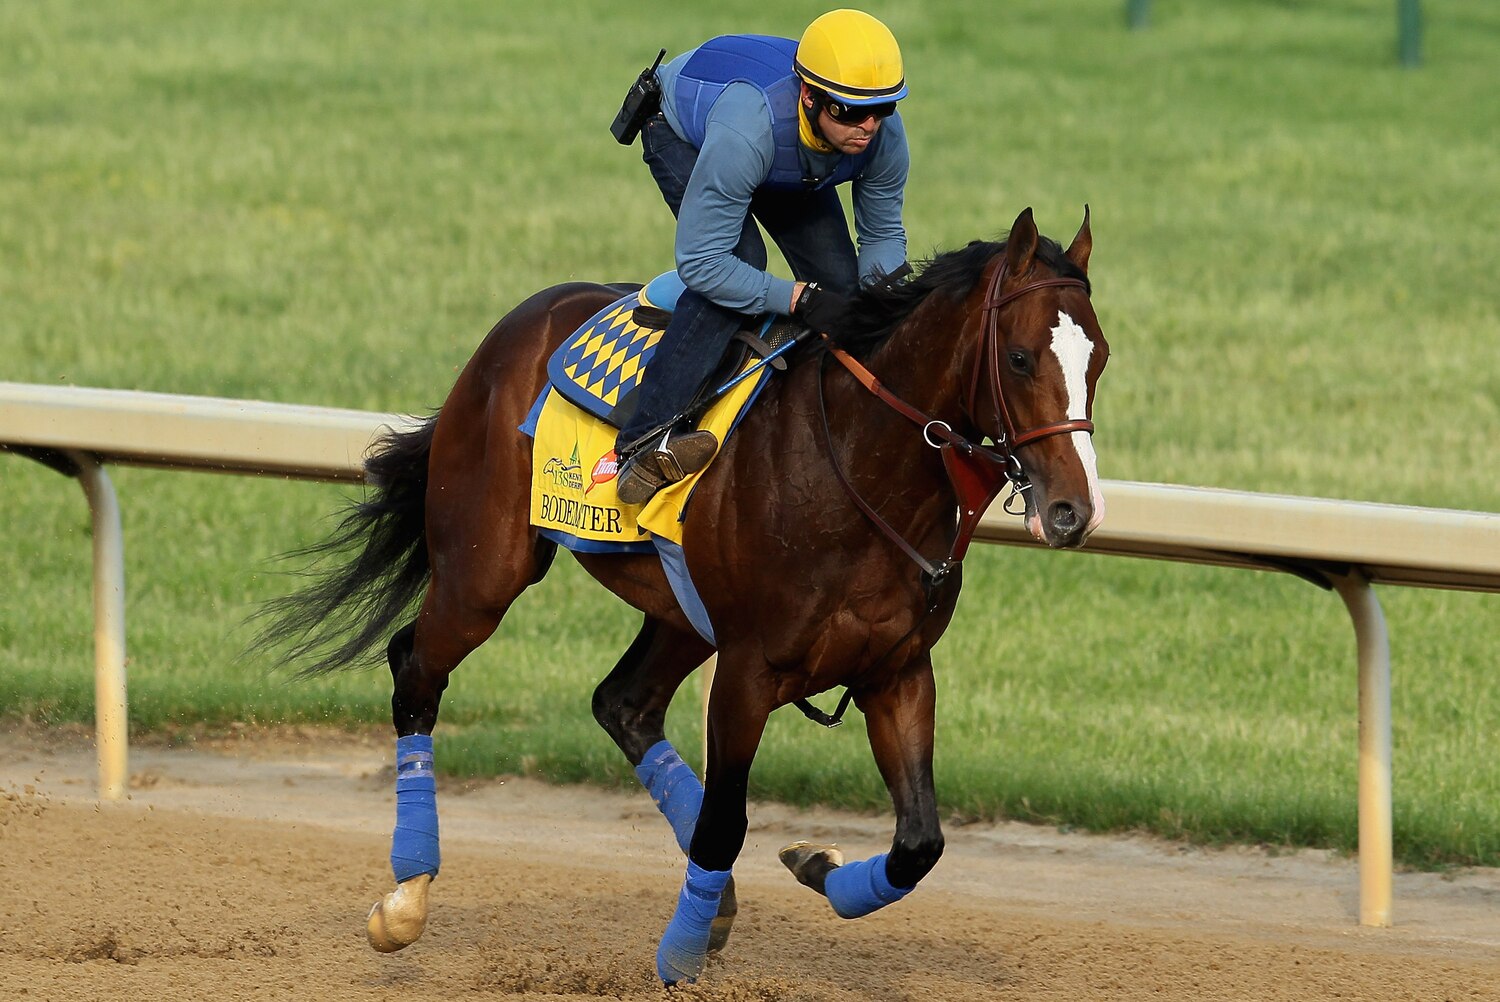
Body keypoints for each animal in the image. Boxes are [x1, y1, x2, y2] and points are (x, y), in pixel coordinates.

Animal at [250, 207, 1108, 984]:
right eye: (1022, 357)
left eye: (1098, 358)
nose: (1075, 509)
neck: (856, 470)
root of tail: (518, 323)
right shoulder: (749, 670)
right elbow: (726, 821)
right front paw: (680, 955)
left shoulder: (896, 670)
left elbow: (919, 844)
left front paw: (813, 862)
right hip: (483, 571)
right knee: (417, 672)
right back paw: (406, 896)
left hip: (679, 610)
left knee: (622, 702)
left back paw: (716, 899)